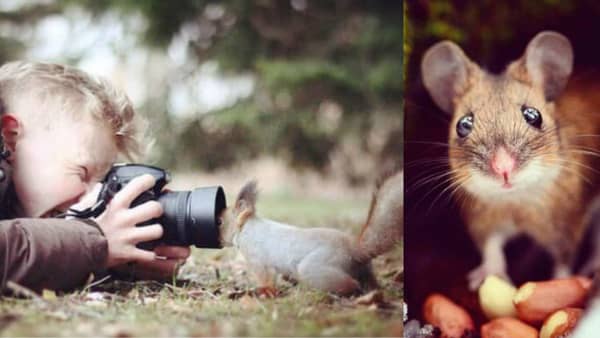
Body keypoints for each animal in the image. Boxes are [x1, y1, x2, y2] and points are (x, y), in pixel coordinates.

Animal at [220, 172, 404, 296]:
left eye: (220, 222)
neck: (246, 228)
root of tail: (355, 250)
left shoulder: (257, 259)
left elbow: (266, 277)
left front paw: (265, 291)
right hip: (366, 270)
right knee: (371, 283)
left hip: (315, 268)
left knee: (351, 284)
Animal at [422, 31, 600, 290]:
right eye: (463, 124)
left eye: (533, 115)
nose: (503, 168)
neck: (515, 199)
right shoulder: (483, 221)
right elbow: (492, 248)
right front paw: (486, 276)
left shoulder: (567, 226)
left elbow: (564, 261)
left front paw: (559, 284)